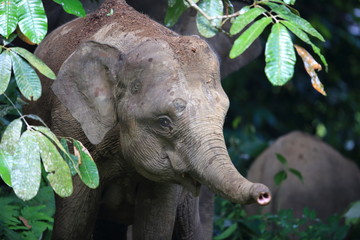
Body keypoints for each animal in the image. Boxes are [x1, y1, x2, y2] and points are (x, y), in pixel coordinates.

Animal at [27, 0, 270, 239]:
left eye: (223, 116)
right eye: (164, 122)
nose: (264, 194)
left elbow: (155, 221)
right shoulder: (71, 130)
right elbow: (74, 222)